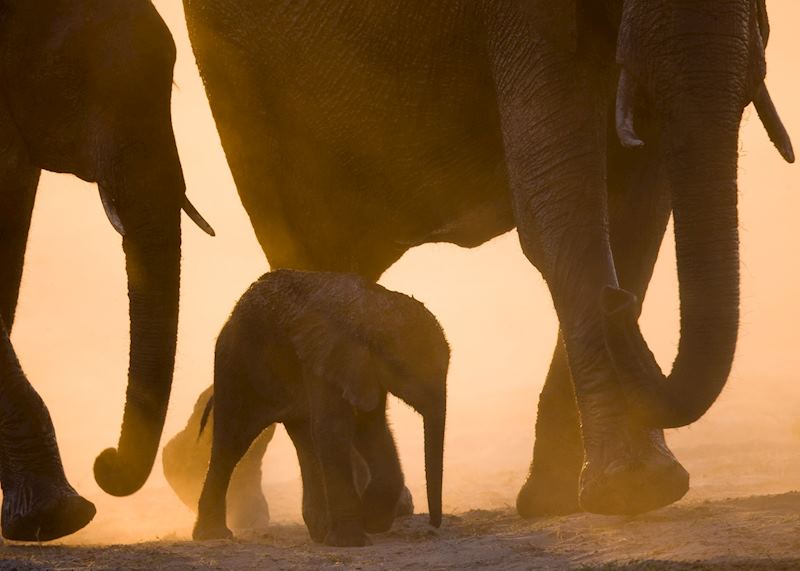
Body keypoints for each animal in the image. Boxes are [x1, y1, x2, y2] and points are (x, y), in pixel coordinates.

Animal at [191, 270, 448, 546]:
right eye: (401, 367)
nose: (434, 526)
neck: (371, 308)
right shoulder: (325, 356)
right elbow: (335, 427)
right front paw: (353, 541)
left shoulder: (363, 368)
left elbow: (370, 427)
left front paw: (371, 520)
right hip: (235, 361)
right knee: (233, 440)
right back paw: (212, 535)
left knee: (305, 438)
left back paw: (321, 533)